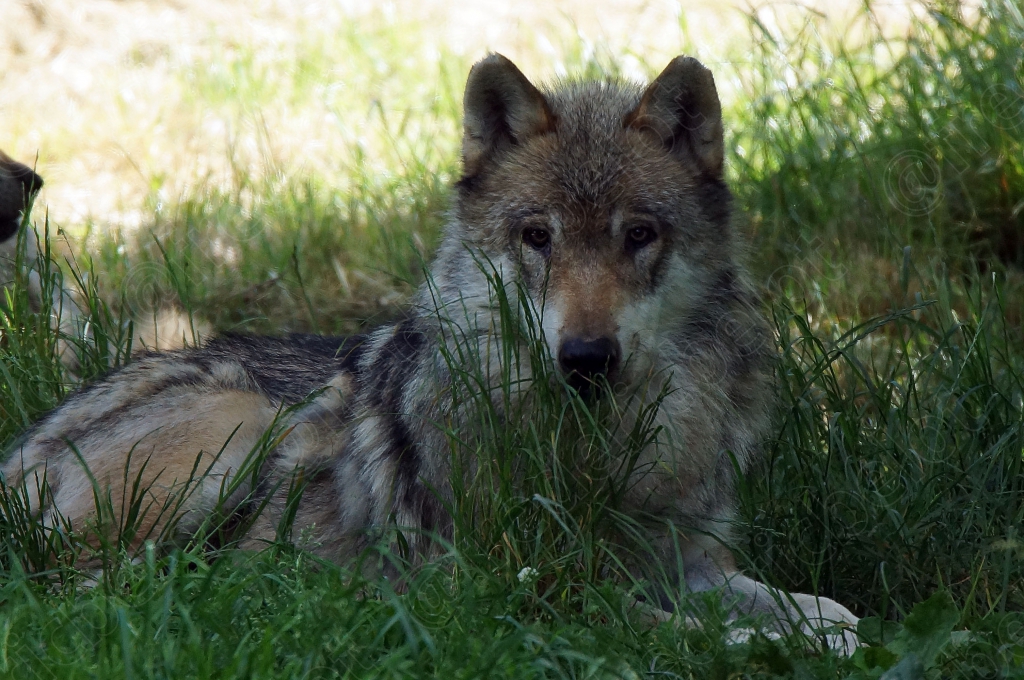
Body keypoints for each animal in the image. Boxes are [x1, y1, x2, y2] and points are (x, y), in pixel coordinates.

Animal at [1, 55, 860, 652]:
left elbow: (827, 607)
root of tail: (24, 441)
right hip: (243, 425)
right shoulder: (508, 582)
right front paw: (764, 644)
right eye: (537, 236)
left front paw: (831, 629)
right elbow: (662, 622)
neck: (596, 452)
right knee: (81, 584)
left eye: (639, 234)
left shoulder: (690, 564)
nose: (585, 356)